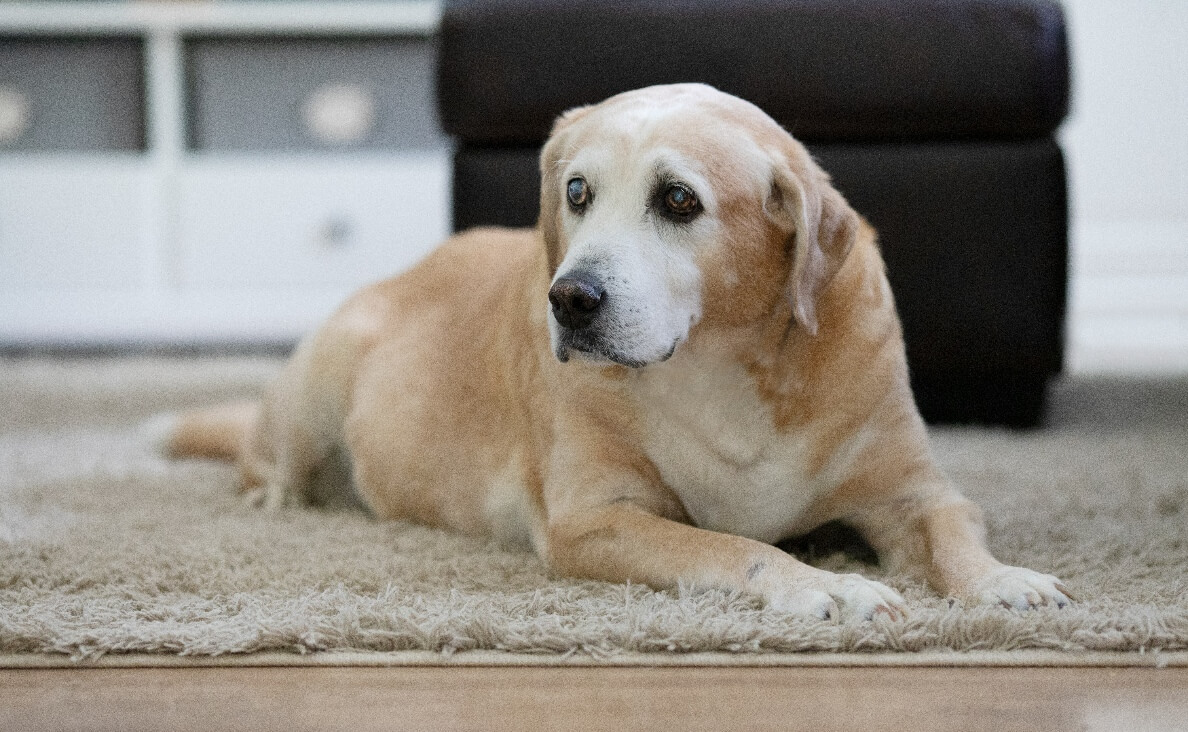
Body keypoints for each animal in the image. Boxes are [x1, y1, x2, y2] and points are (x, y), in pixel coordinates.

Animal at [167, 84, 1078, 622]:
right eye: (577, 191)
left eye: (677, 200)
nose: (568, 299)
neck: (717, 365)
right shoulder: (595, 519)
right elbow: (735, 547)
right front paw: (826, 583)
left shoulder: (914, 492)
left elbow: (956, 529)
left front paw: (1005, 580)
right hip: (322, 374)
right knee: (265, 459)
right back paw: (279, 495)